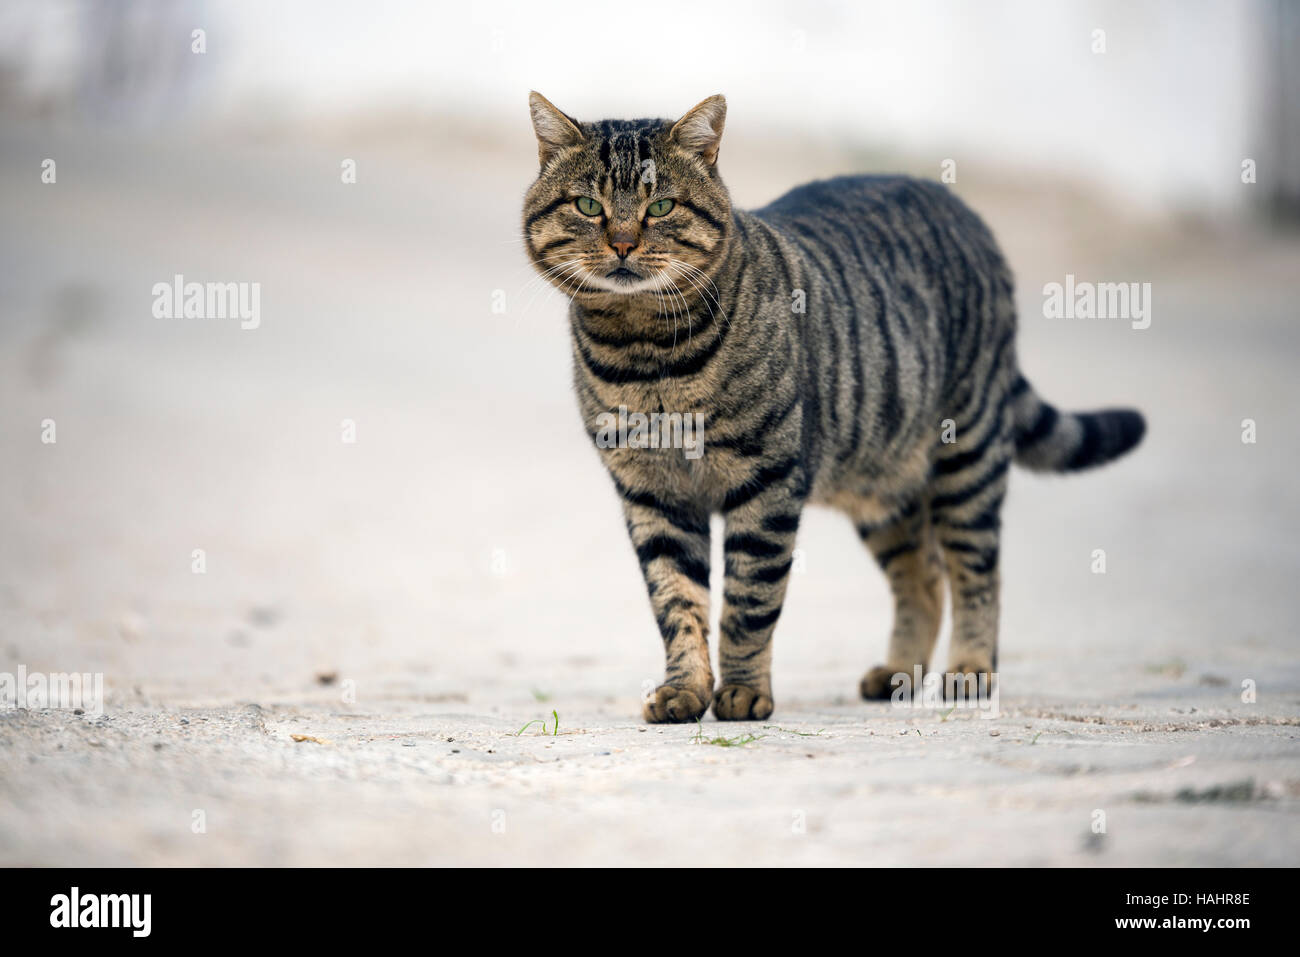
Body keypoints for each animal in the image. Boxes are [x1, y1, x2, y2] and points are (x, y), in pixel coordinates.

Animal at [522, 93, 1144, 722]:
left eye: (662, 206)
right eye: (588, 206)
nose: (623, 244)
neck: (644, 354)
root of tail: (958, 204)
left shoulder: (766, 480)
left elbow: (748, 603)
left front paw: (742, 691)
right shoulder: (652, 494)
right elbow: (677, 603)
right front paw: (685, 689)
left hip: (968, 455)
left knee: (976, 569)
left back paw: (970, 669)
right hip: (882, 486)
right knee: (923, 577)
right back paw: (899, 673)